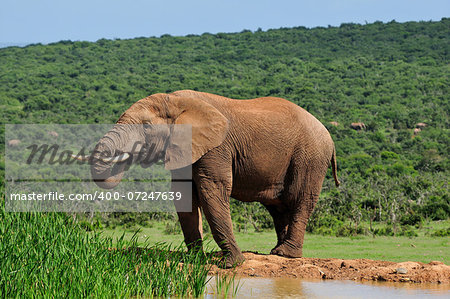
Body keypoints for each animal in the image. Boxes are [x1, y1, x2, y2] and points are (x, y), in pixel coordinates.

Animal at [74, 90, 342, 268]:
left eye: (147, 127)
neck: (177, 100)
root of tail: (328, 134)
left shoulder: (217, 147)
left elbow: (212, 190)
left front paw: (231, 264)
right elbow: (183, 195)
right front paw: (194, 258)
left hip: (310, 157)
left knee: (300, 200)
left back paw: (286, 255)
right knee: (278, 207)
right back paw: (276, 252)